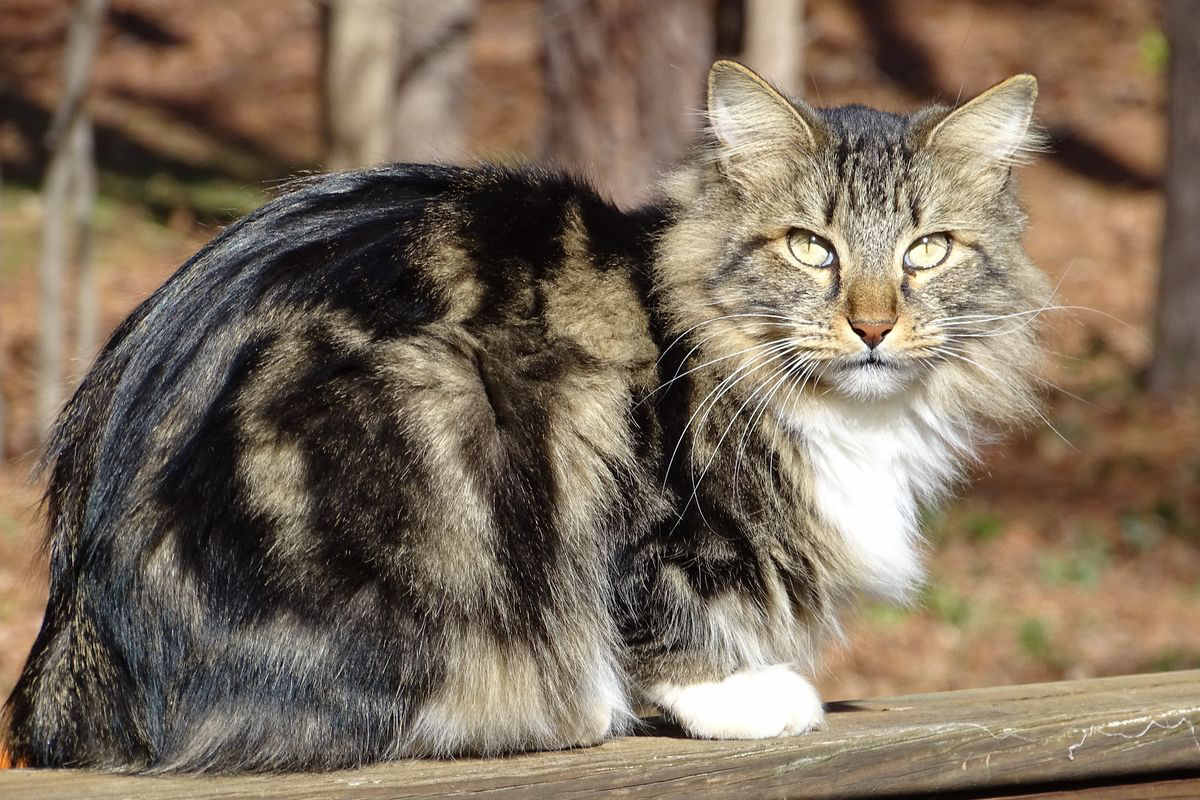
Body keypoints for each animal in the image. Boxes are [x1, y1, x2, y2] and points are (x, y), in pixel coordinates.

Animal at [2, 59, 1051, 772]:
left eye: (926, 251)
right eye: (810, 247)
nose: (873, 325)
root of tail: (75, 634)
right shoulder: (648, 501)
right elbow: (660, 613)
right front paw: (744, 698)